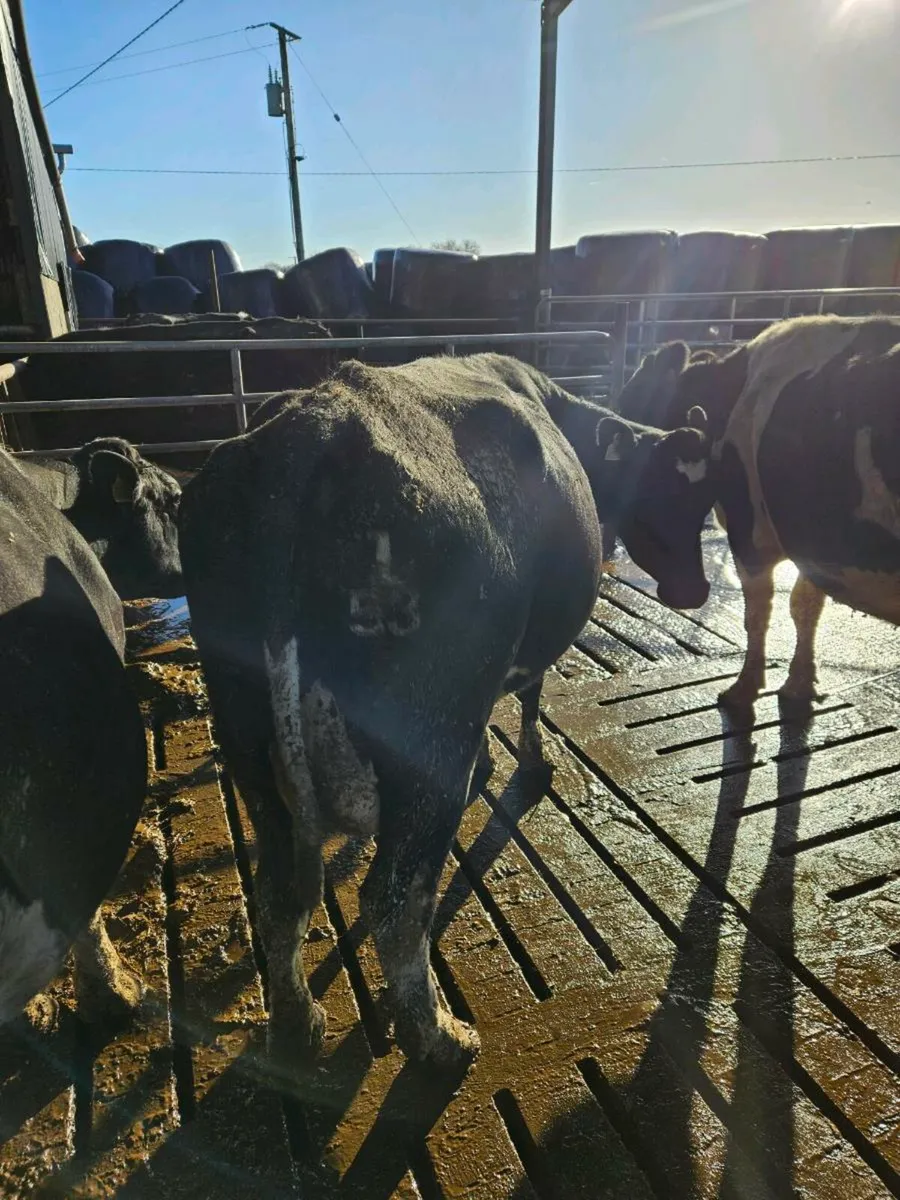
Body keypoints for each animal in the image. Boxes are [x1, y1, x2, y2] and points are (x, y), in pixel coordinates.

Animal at [179, 352, 671, 1068]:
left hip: (247, 740)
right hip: (430, 732)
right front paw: (529, 762)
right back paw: (437, 1038)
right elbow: (530, 697)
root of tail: (310, 432)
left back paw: (297, 1027)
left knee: (279, 893)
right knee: (392, 897)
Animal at [596, 315, 900, 711]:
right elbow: (805, 606)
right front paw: (798, 684)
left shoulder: (751, 533)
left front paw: (744, 687)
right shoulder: (808, 537)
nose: (689, 594)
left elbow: (759, 612)